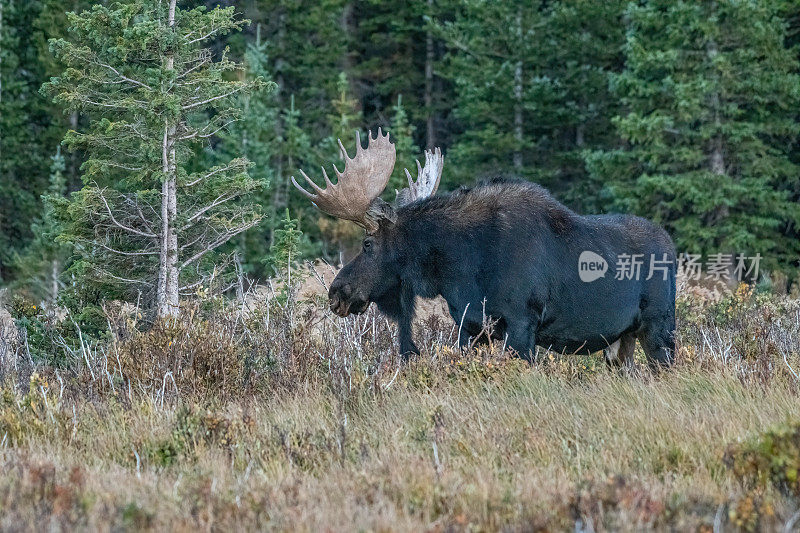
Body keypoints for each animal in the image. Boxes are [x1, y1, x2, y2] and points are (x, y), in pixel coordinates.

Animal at [294, 130, 676, 370]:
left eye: (368, 244)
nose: (337, 291)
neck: (460, 267)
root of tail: (671, 245)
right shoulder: (471, 326)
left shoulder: (521, 322)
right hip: (621, 341)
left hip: (660, 327)